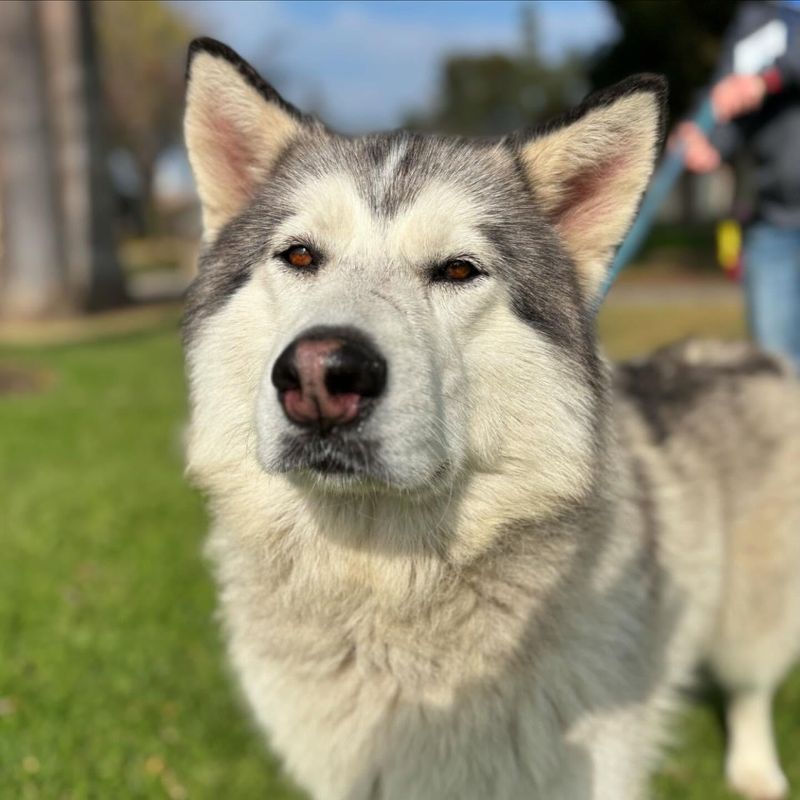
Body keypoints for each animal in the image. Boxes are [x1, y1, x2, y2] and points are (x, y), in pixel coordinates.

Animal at [183, 37, 800, 800]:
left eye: (457, 270)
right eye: (299, 255)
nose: (321, 376)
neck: (384, 586)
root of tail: (750, 353)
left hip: (753, 619)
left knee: (749, 692)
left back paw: (755, 771)